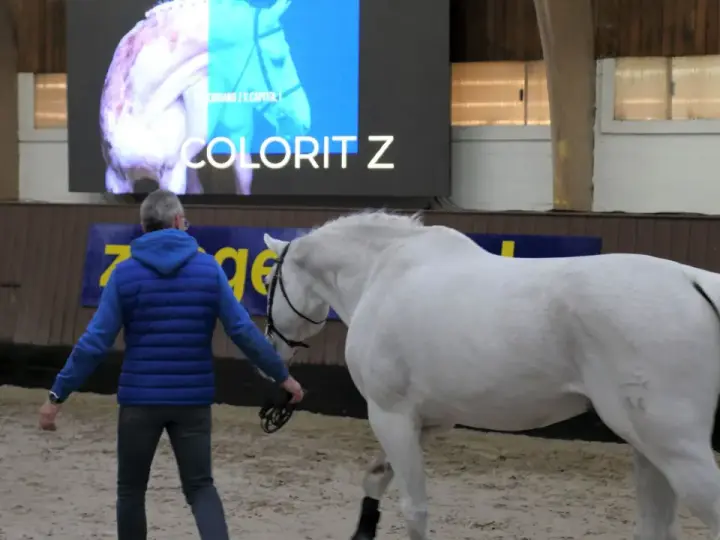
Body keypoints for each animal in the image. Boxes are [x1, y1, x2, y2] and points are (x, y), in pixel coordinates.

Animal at [99, 0, 310, 194]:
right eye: (278, 60)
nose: (304, 121)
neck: (142, 113)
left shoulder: (172, 177)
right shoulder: (116, 179)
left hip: (239, 135)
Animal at [261, 210, 720, 540]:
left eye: (268, 280)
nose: (271, 349)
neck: (383, 273)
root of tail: (693, 280)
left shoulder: (390, 415)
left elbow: (414, 509)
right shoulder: (428, 421)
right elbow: (375, 478)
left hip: (677, 452)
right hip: (650, 453)